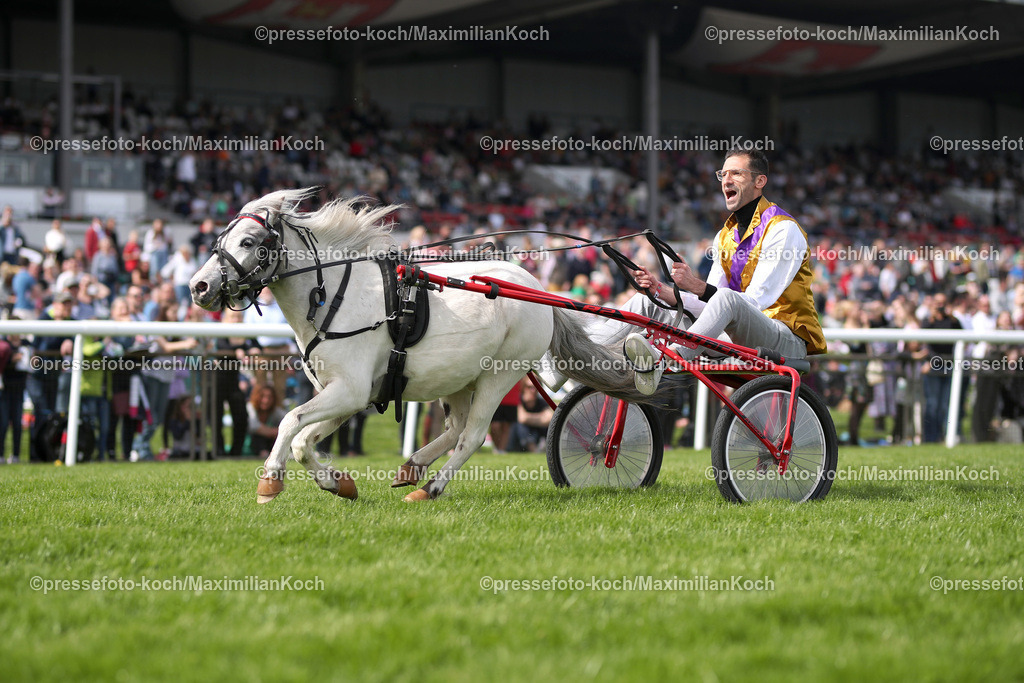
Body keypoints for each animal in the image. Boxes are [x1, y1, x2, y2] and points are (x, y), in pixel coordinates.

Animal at [190, 188, 641, 503]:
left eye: (249, 242)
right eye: (220, 238)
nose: (199, 286)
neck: (333, 296)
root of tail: (538, 289)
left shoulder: (349, 390)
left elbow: (288, 422)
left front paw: (270, 480)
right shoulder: (349, 395)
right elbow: (303, 438)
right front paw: (338, 482)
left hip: (500, 375)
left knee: (472, 435)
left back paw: (431, 487)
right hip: (458, 377)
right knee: (456, 429)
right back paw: (413, 467)